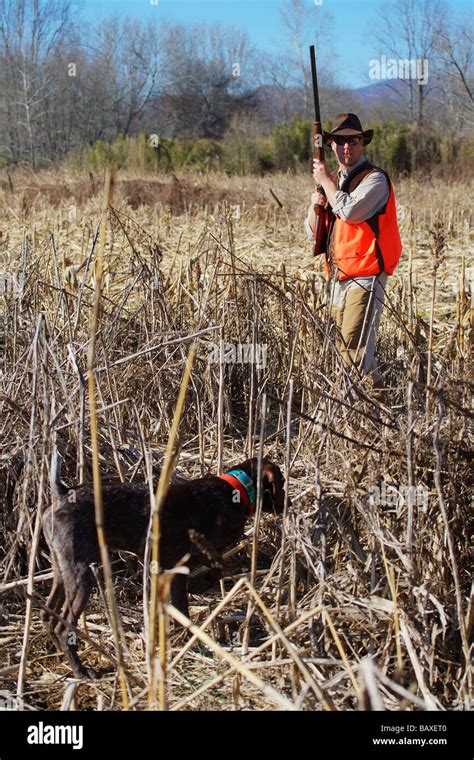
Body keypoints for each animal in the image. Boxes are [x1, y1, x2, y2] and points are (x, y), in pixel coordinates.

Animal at [41, 452, 286, 676]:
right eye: (282, 482)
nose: (289, 503)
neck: (235, 492)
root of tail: (62, 494)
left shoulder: (173, 567)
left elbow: (181, 606)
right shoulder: (195, 554)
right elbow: (214, 572)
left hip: (63, 570)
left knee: (48, 615)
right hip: (82, 573)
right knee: (62, 626)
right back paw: (80, 670)